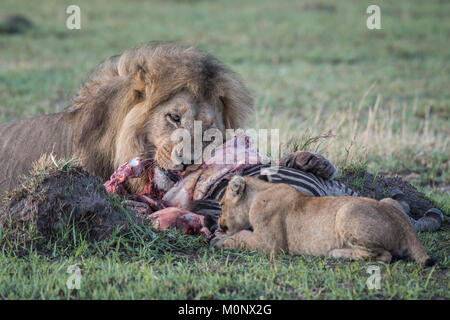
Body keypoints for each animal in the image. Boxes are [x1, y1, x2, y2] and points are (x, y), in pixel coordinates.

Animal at [214, 175, 436, 264]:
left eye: (222, 204)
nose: (218, 223)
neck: (258, 193)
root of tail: (406, 227)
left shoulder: (270, 245)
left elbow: (242, 236)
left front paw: (218, 240)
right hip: (389, 200)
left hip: (346, 212)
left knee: (384, 256)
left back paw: (337, 253)